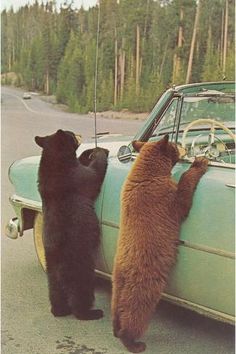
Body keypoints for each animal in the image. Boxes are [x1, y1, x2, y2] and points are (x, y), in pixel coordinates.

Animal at [35, 130, 109, 320]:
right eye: (72, 134)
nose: (80, 135)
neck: (54, 161)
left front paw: (88, 152)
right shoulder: (74, 176)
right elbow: (93, 175)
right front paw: (100, 152)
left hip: (52, 274)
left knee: (55, 294)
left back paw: (59, 310)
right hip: (82, 267)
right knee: (81, 294)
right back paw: (91, 312)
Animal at [111, 135, 207, 352]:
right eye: (174, 145)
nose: (182, 147)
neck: (147, 173)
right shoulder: (164, 198)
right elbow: (182, 201)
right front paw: (199, 163)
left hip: (117, 281)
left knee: (117, 305)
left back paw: (115, 329)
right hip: (146, 283)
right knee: (137, 309)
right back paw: (132, 341)